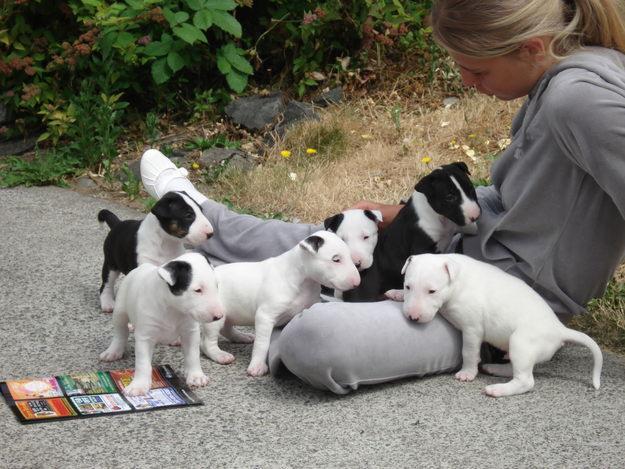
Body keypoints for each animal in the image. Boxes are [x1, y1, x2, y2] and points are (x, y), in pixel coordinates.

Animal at [98, 252, 223, 394]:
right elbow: (143, 363)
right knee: (120, 332)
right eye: (198, 290)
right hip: (120, 311)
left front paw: (196, 376)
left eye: (216, 285)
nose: (219, 316)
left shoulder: (190, 331)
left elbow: (193, 355)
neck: (173, 308)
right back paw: (113, 351)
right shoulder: (145, 336)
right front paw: (139, 385)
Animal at [382, 254, 604, 396]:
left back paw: (498, 389)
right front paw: (396, 293)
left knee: (526, 380)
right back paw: (495, 369)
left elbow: (468, 352)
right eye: (408, 286)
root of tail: (559, 330)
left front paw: (467, 373)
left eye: (432, 291)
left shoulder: (472, 330)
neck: (457, 281)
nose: (412, 317)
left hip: (521, 342)